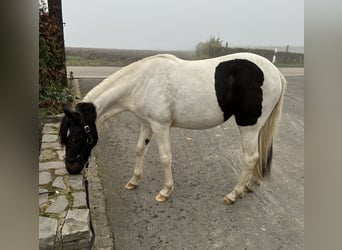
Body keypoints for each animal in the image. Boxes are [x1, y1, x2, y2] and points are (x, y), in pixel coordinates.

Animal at [59, 51, 286, 204]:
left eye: (76, 137)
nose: (71, 168)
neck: (142, 82)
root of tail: (275, 72)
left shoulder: (160, 127)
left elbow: (165, 158)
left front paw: (165, 191)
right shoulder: (147, 124)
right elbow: (140, 150)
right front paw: (134, 181)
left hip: (249, 126)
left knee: (250, 158)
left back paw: (234, 194)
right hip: (258, 127)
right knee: (257, 156)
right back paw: (250, 185)